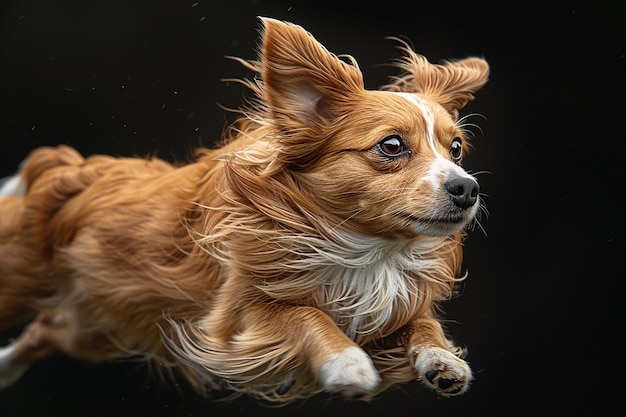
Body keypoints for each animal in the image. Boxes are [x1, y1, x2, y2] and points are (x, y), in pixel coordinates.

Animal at [0, 17, 488, 402]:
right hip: (26, 283)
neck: (362, 250)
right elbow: (305, 314)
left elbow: (422, 323)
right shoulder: (235, 320)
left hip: (97, 324)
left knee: (44, 329)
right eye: (391, 145)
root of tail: (71, 168)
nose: (467, 187)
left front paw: (441, 360)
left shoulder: (388, 309)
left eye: (456, 149)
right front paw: (346, 361)